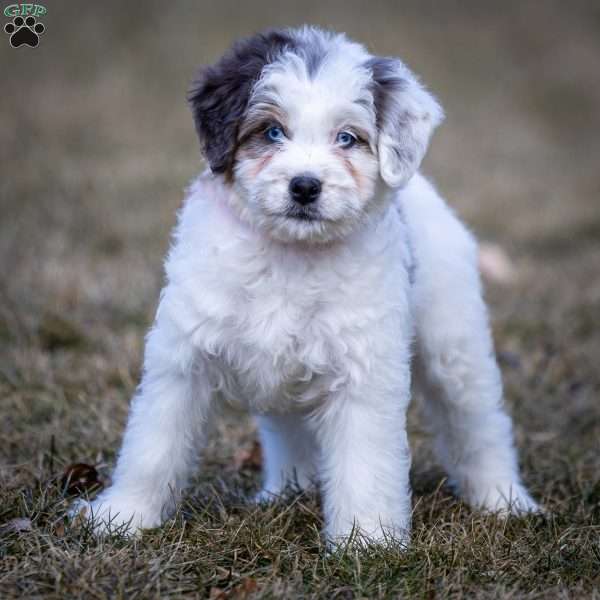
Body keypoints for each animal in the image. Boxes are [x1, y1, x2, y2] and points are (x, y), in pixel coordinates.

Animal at [75, 27, 540, 544]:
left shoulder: (364, 373)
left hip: (453, 345)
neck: (290, 254)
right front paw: (122, 517)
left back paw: (504, 500)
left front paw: (368, 542)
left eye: (347, 138)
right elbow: (153, 446)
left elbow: (365, 465)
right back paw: (286, 492)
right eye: (272, 131)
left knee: (478, 424)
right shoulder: (182, 358)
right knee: (289, 429)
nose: (304, 186)